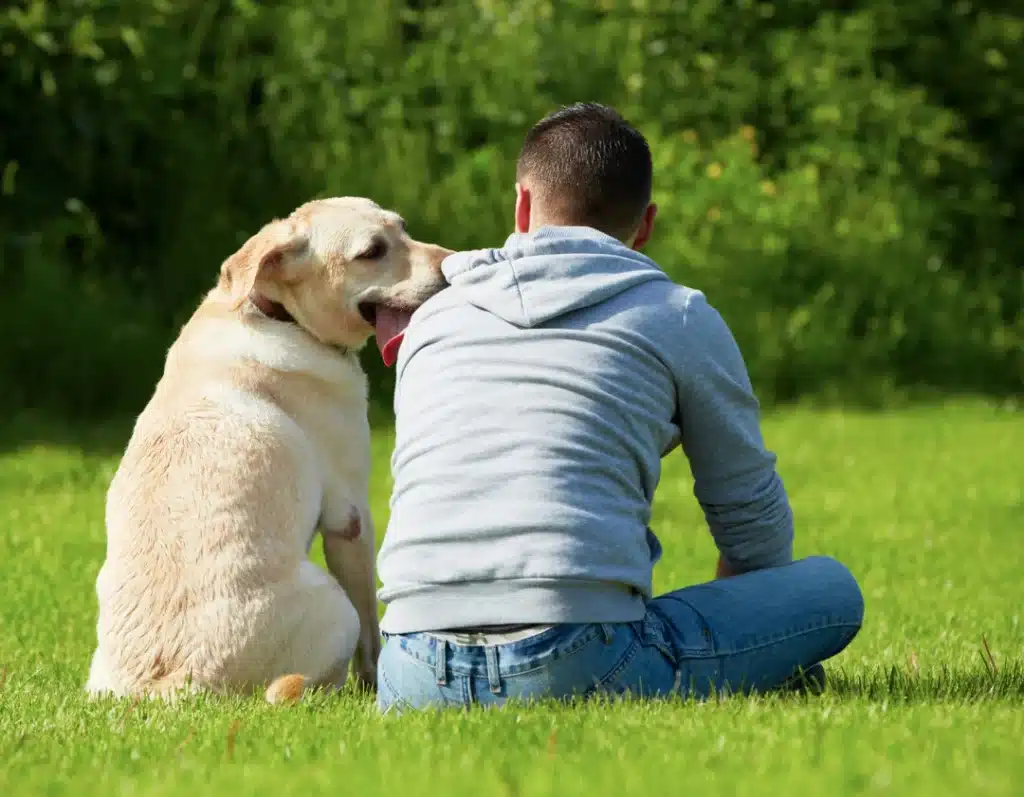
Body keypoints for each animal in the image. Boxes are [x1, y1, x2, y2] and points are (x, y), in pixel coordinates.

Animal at [89, 196, 452, 700]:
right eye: (372, 251)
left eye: (403, 229)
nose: (454, 263)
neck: (279, 314)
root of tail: (171, 682)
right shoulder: (351, 517)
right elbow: (371, 631)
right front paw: (376, 683)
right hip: (333, 604)